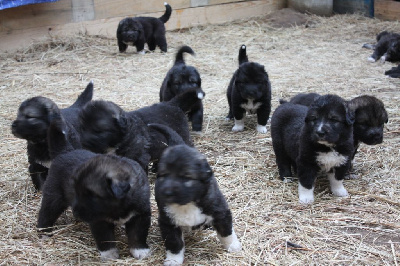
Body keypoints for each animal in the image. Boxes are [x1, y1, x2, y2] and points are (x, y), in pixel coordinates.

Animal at [37, 114, 151, 260]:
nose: (76, 212)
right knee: (46, 214)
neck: (118, 207)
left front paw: (140, 250)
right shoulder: (99, 220)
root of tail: (65, 151)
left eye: (92, 195)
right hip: (54, 197)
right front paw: (109, 254)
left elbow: (138, 234)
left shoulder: (140, 214)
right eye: (77, 191)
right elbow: (105, 238)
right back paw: (44, 233)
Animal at [152, 124, 241, 264]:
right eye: (164, 175)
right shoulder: (167, 221)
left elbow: (226, 232)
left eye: (186, 177)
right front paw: (173, 260)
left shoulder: (220, 211)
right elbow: (174, 243)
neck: (188, 203)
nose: (167, 193)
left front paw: (232, 245)